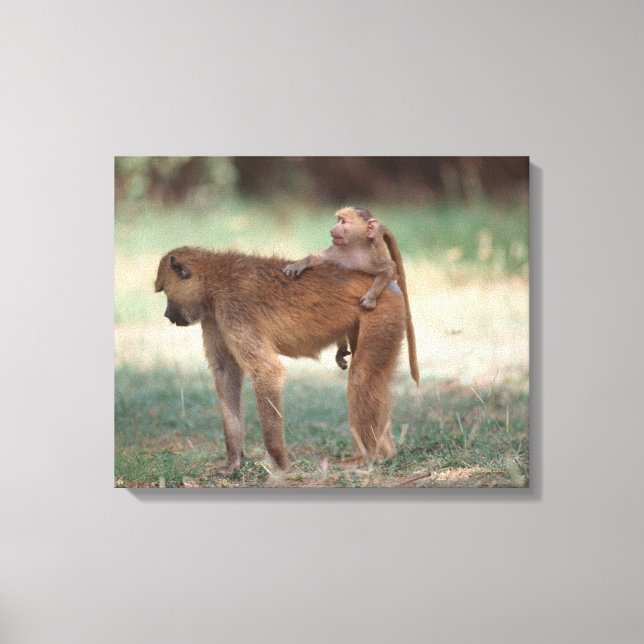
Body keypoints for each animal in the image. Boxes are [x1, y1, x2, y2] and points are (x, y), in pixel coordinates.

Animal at [155, 246, 408, 473]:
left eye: (165, 291)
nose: (166, 315)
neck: (214, 280)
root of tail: (385, 282)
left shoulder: (234, 308)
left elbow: (266, 370)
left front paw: (280, 463)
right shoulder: (213, 316)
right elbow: (225, 372)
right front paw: (233, 461)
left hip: (381, 310)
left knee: (362, 376)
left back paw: (367, 458)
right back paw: (386, 453)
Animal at [283, 207, 419, 384]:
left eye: (343, 221)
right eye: (338, 220)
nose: (332, 230)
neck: (352, 249)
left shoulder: (369, 258)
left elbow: (389, 269)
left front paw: (371, 297)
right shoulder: (336, 252)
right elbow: (317, 258)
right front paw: (298, 264)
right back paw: (341, 348)